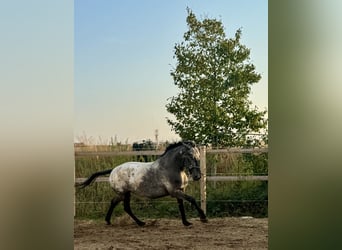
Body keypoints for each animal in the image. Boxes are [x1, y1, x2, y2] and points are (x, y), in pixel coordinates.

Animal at [76, 141, 207, 227]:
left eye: (198, 156)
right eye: (190, 156)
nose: (197, 176)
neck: (171, 168)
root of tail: (113, 170)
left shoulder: (179, 191)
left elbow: (181, 206)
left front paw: (186, 222)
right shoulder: (174, 192)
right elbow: (192, 199)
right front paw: (203, 218)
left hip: (126, 193)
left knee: (118, 204)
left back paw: (112, 221)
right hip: (123, 193)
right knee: (122, 206)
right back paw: (139, 223)